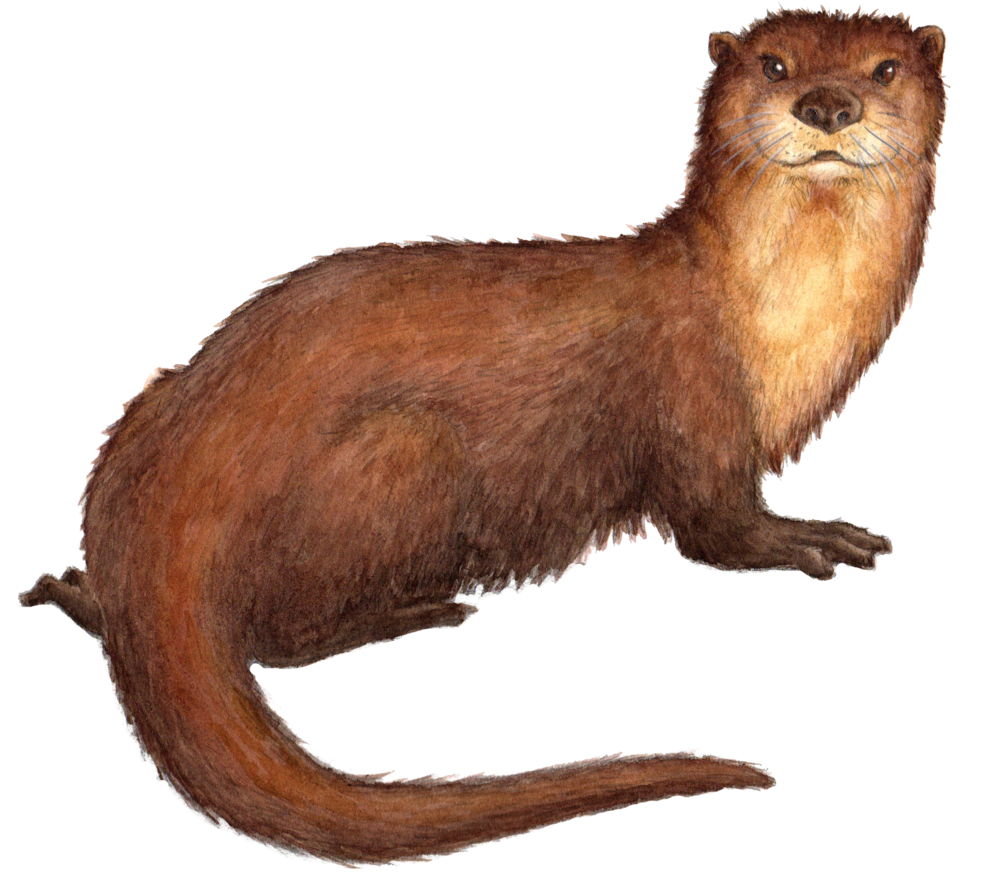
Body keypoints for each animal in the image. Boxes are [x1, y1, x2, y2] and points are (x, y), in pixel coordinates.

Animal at [19, 8, 945, 867]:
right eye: (775, 65)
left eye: (885, 67)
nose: (827, 104)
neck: (765, 321)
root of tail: (177, 504)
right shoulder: (696, 404)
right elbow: (718, 530)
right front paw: (809, 537)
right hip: (406, 457)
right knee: (281, 632)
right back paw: (425, 608)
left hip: (138, 419)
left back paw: (74, 591)